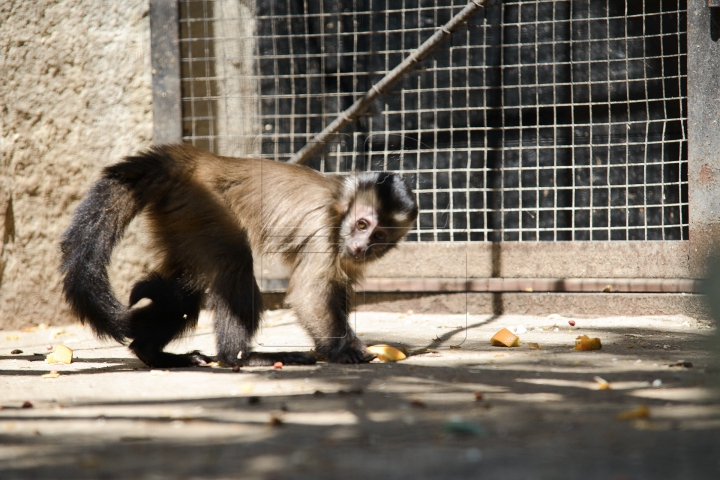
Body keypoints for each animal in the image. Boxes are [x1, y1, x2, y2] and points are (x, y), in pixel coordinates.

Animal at [59, 142, 420, 368]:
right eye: (361, 224)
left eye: (379, 236)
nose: (361, 246)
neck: (338, 208)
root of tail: (197, 159)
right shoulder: (323, 228)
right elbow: (309, 294)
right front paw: (344, 350)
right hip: (201, 202)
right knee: (235, 262)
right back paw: (240, 357)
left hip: (181, 215)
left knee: (184, 290)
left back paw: (151, 353)